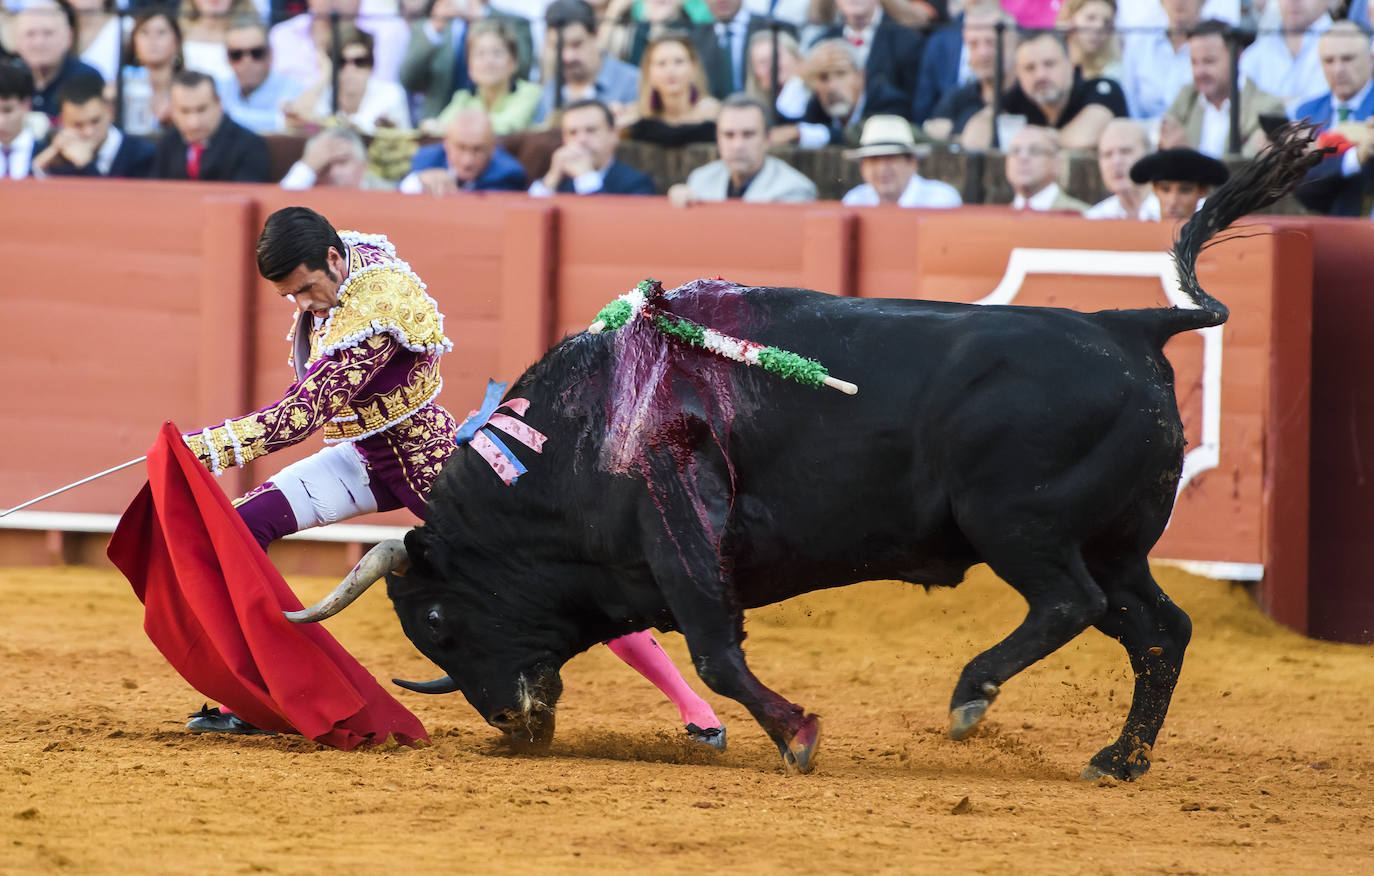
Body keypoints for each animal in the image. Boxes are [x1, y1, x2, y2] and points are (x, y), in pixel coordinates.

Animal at [295, 127, 1324, 779]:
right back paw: (1118, 760)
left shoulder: (679, 523)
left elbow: (716, 651)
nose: (514, 722)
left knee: (1072, 603)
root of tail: (1131, 324)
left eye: (435, 621)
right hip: (1118, 542)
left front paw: (798, 737)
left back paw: (971, 697)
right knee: (1159, 629)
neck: (564, 442)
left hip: (1020, 525)